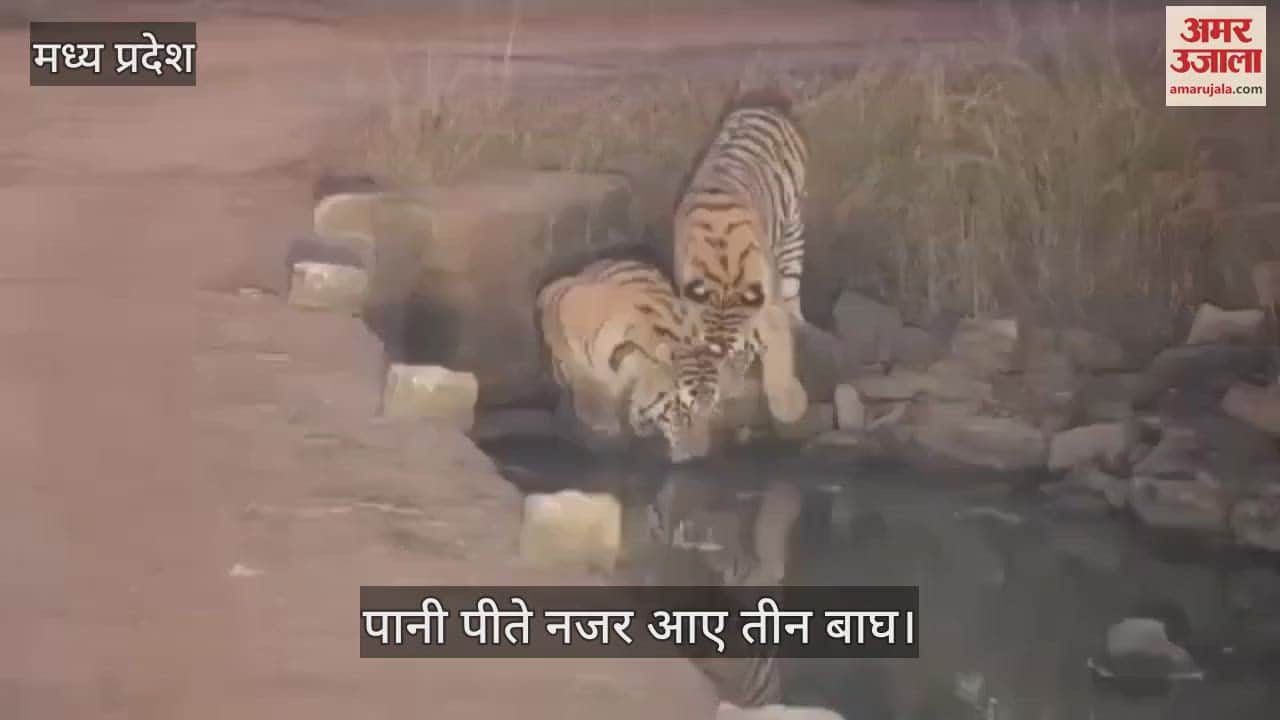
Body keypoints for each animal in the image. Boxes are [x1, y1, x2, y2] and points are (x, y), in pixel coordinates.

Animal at [673, 90, 811, 426]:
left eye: (739, 356)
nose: (724, 396)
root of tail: (764, 105)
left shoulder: (770, 308)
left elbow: (779, 353)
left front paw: (788, 405)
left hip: (794, 228)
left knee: (793, 282)